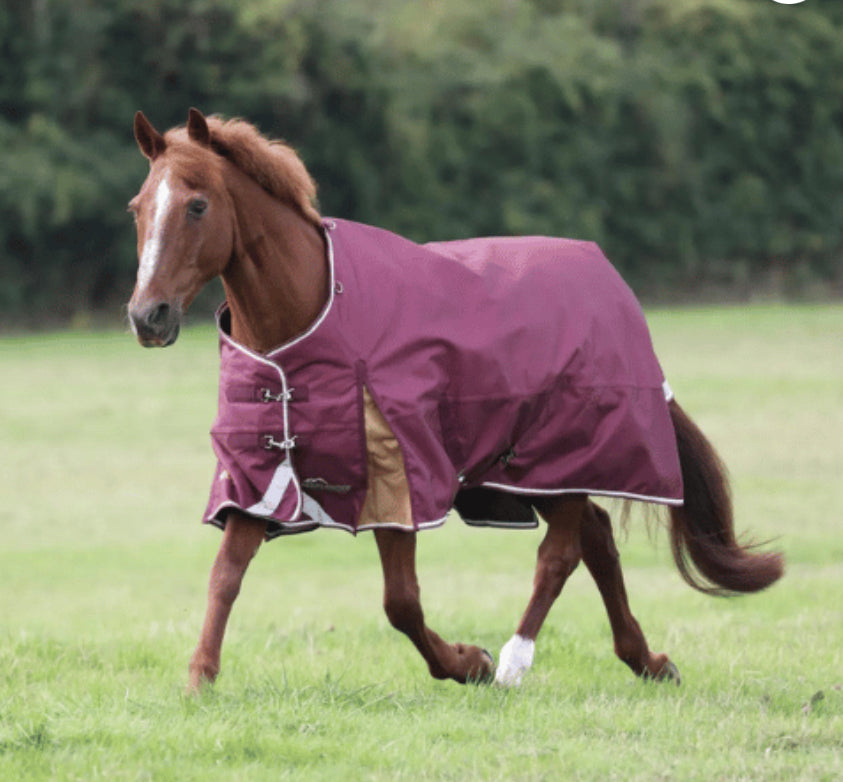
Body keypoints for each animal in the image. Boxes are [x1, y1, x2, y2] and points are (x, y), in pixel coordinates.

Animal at [127, 108, 783, 692]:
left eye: (197, 205)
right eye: (138, 207)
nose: (146, 316)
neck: (309, 320)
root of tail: (611, 282)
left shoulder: (396, 472)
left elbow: (401, 603)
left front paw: (471, 663)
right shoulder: (259, 472)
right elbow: (225, 575)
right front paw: (200, 678)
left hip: (563, 450)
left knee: (561, 552)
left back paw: (517, 661)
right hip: (530, 472)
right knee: (595, 537)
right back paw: (646, 661)